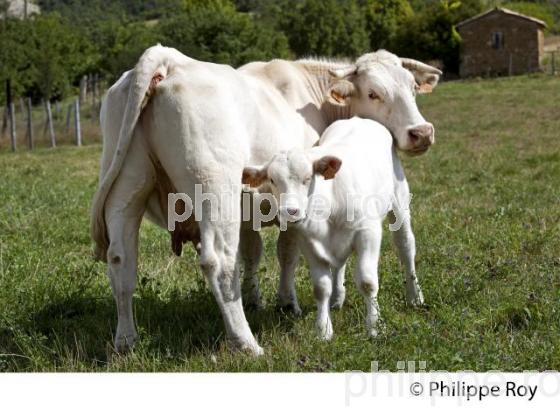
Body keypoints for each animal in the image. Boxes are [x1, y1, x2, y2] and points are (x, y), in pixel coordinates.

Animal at [242, 117, 424, 338]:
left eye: (308, 178)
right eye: (272, 180)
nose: (290, 211)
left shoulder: (368, 233)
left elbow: (368, 281)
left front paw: (375, 326)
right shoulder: (310, 243)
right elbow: (321, 288)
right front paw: (323, 329)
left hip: (399, 201)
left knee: (406, 247)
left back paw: (415, 296)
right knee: (339, 265)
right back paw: (337, 299)